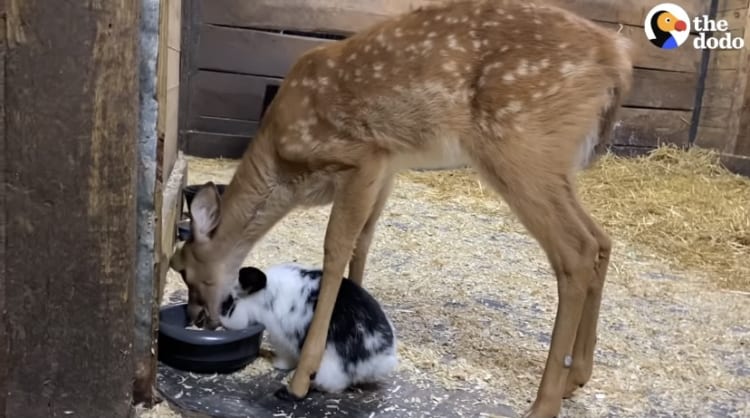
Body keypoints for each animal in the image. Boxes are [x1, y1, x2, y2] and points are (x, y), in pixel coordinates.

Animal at [220, 262, 402, 394]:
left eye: (230, 303)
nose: (220, 318)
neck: (265, 295)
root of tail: (381, 360)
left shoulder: (281, 338)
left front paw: (278, 364)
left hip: (330, 365)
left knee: (333, 384)